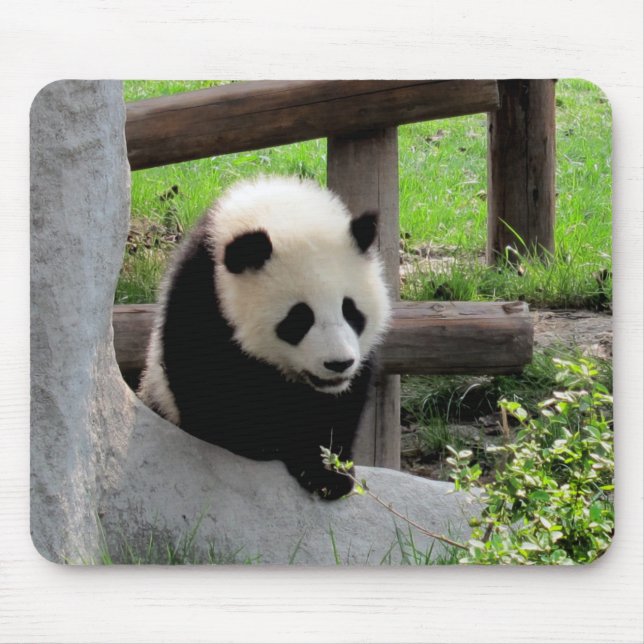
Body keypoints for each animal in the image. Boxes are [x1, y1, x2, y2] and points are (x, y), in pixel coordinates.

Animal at [138, 176, 391, 500]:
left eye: (351, 311)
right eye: (299, 319)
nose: (338, 364)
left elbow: (341, 404)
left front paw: (328, 473)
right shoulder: (204, 296)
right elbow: (211, 389)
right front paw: (269, 446)